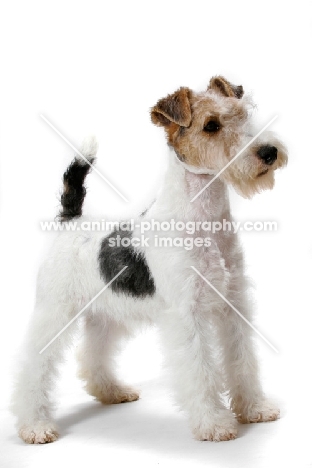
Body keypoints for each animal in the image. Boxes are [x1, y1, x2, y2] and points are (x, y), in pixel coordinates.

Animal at [11, 76, 288, 442]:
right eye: (211, 126)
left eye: (244, 114)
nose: (269, 153)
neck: (204, 220)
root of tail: (72, 219)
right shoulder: (187, 314)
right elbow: (201, 370)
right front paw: (214, 423)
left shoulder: (234, 305)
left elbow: (242, 361)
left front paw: (255, 409)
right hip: (54, 311)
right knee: (33, 364)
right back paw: (34, 425)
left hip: (107, 313)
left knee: (92, 355)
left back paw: (112, 391)